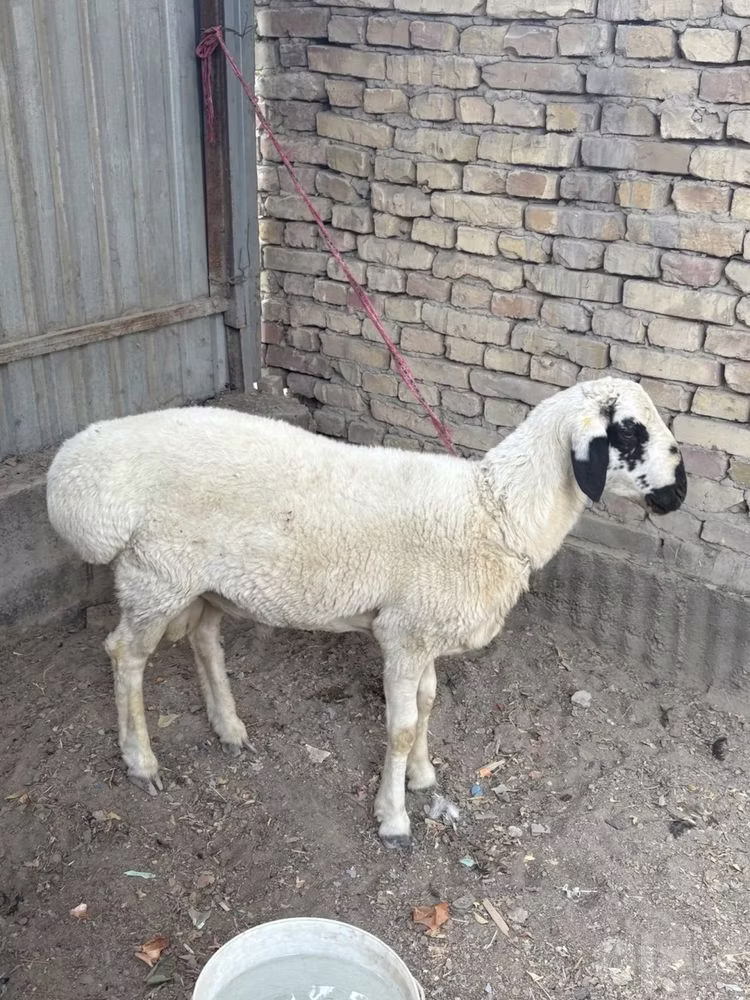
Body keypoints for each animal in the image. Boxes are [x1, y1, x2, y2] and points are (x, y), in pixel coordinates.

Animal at [46, 376, 686, 847]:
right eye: (629, 432)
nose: (680, 492)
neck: (495, 512)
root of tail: (70, 473)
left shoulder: (424, 631)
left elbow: (427, 705)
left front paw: (423, 777)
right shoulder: (404, 632)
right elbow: (399, 727)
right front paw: (393, 816)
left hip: (202, 583)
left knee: (203, 638)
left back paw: (229, 729)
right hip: (156, 575)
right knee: (124, 655)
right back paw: (141, 761)